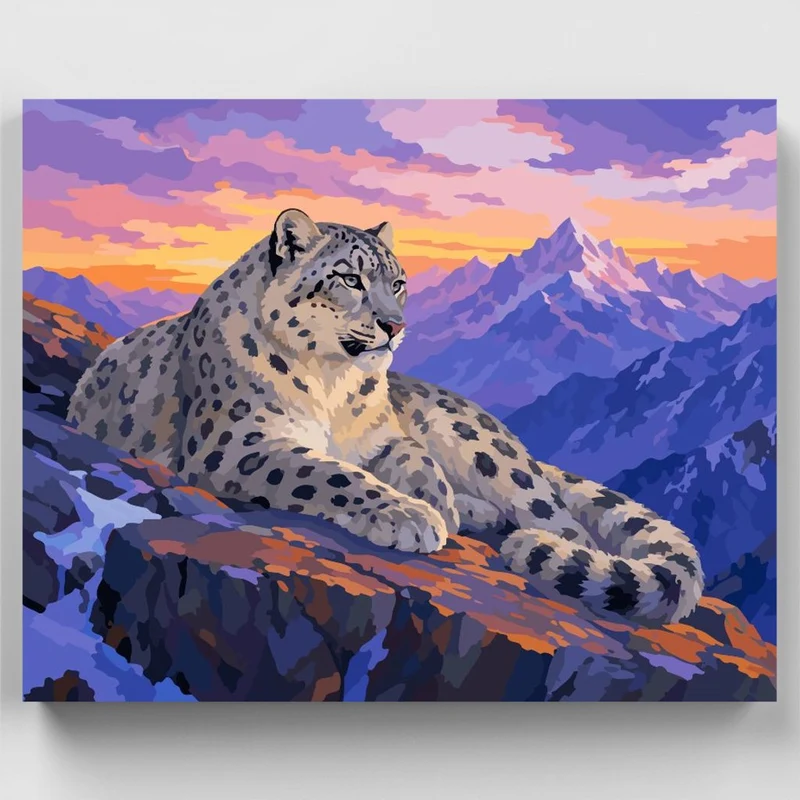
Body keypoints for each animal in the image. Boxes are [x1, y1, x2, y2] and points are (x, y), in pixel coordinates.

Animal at [69, 209, 704, 624]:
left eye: (398, 282)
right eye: (350, 278)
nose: (396, 326)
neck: (334, 382)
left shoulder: (382, 437)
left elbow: (407, 454)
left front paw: (431, 502)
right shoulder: (237, 442)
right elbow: (327, 472)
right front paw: (413, 514)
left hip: (488, 452)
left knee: (563, 523)